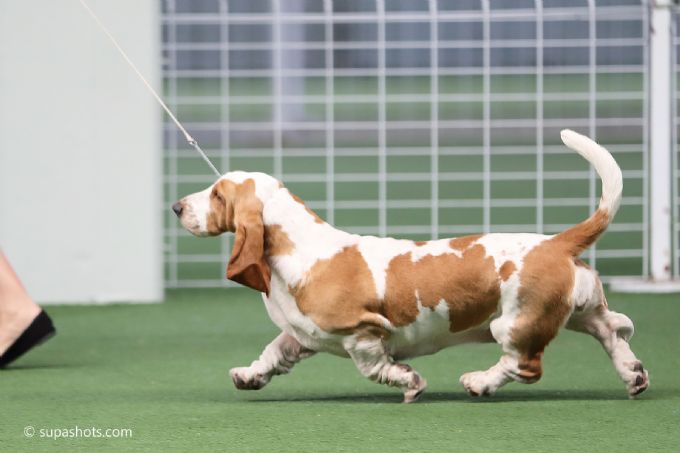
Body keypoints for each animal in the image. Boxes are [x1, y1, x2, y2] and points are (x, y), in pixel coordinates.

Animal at [172, 130, 648, 402]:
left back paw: (479, 383)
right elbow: (274, 354)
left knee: (524, 365)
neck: (303, 250)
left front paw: (409, 383)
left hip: (514, 324)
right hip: (579, 312)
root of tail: (556, 243)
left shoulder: (362, 334)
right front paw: (247, 376)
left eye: (217, 195)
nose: (176, 207)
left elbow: (374, 367)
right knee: (614, 330)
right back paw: (633, 377)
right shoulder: (302, 336)